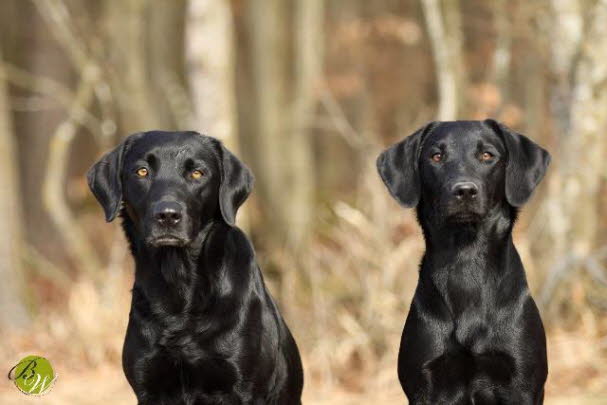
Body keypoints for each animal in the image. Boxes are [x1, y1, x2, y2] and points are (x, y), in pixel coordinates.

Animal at [88, 131, 304, 402]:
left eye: (197, 173)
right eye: (142, 171)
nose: (167, 215)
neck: (179, 283)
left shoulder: (243, 389)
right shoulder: (148, 387)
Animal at [378, 120, 548, 404]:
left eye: (487, 155)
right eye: (436, 156)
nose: (464, 191)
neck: (466, 258)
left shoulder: (522, 384)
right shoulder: (424, 385)